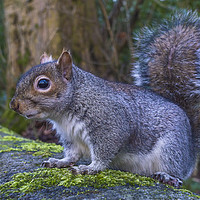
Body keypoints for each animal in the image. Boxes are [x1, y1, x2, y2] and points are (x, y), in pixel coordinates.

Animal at [9, 10, 198, 188]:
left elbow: (104, 152)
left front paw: (90, 168)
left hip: (171, 148)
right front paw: (59, 162)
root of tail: (191, 149)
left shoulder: (110, 125)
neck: (65, 112)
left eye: (43, 83)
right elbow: (72, 154)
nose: (14, 105)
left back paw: (168, 176)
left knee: (177, 171)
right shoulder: (70, 136)